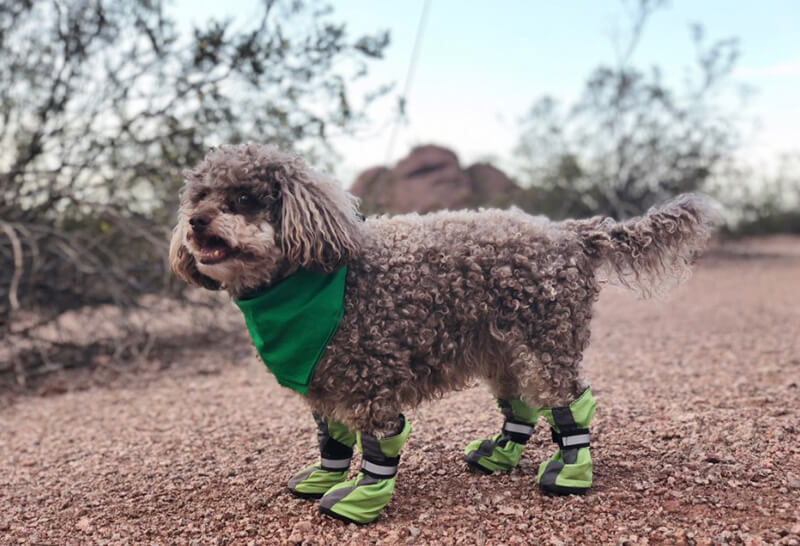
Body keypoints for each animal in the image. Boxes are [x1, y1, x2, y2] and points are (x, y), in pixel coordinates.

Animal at [169, 141, 720, 524]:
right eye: (199, 197)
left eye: (244, 197)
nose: (195, 222)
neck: (313, 278)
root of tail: (571, 232)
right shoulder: (324, 378)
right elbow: (334, 438)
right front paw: (324, 476)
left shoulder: (369, 379)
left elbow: (379, 445)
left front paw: (360, 501)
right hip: (502, 346)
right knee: (521, 405)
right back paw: (499, 454)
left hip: (548, 342)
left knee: (569, 404)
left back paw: (571, 472)